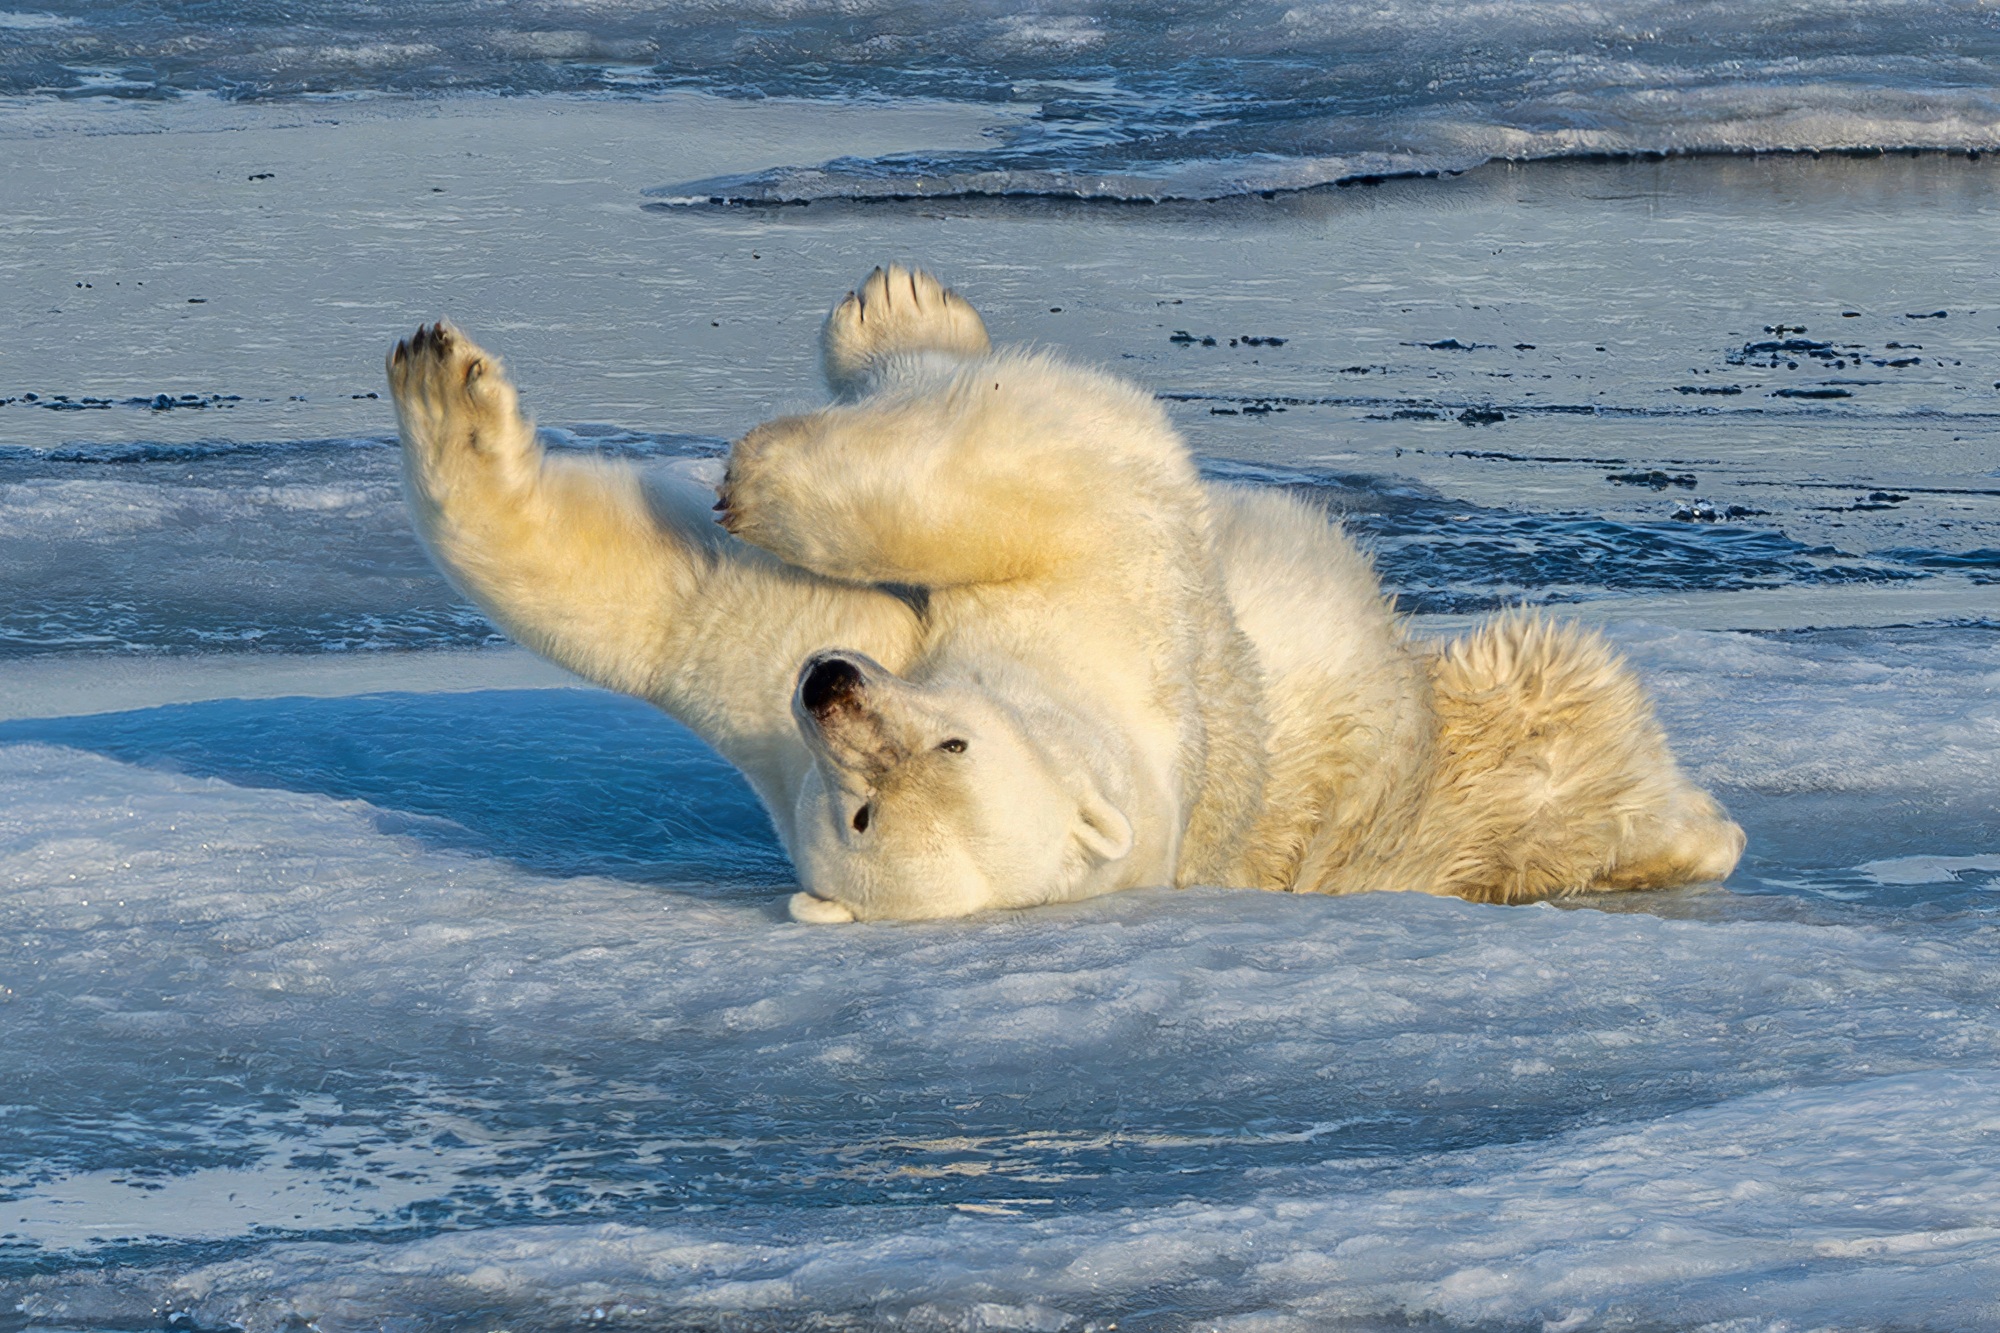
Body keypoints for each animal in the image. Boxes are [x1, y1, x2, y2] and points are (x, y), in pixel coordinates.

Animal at [387, 265, 1743, 922]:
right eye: (861, 814)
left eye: (953, 746)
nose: (830, 686)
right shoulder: (769, 723)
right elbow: (652, 605)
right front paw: (447, 396)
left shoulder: (1111, 614)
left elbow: (1048, 454)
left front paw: (792, 433)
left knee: (1551, 705)